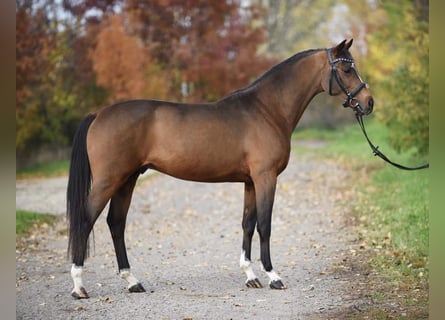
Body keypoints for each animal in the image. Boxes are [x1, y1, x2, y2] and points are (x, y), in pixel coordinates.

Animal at [66, 38, 372, 298]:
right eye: (346, 69)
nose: (368, 103)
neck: (266, 110)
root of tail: (98, 114)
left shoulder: (250, 182)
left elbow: (248, 224)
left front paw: (251, 276)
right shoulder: (265, 178)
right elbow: (265, 225)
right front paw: (273, 276)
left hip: (127, 179)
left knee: (116, 223)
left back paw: (132, 281)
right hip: (109, 180)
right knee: (85, 220)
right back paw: (79, 287)